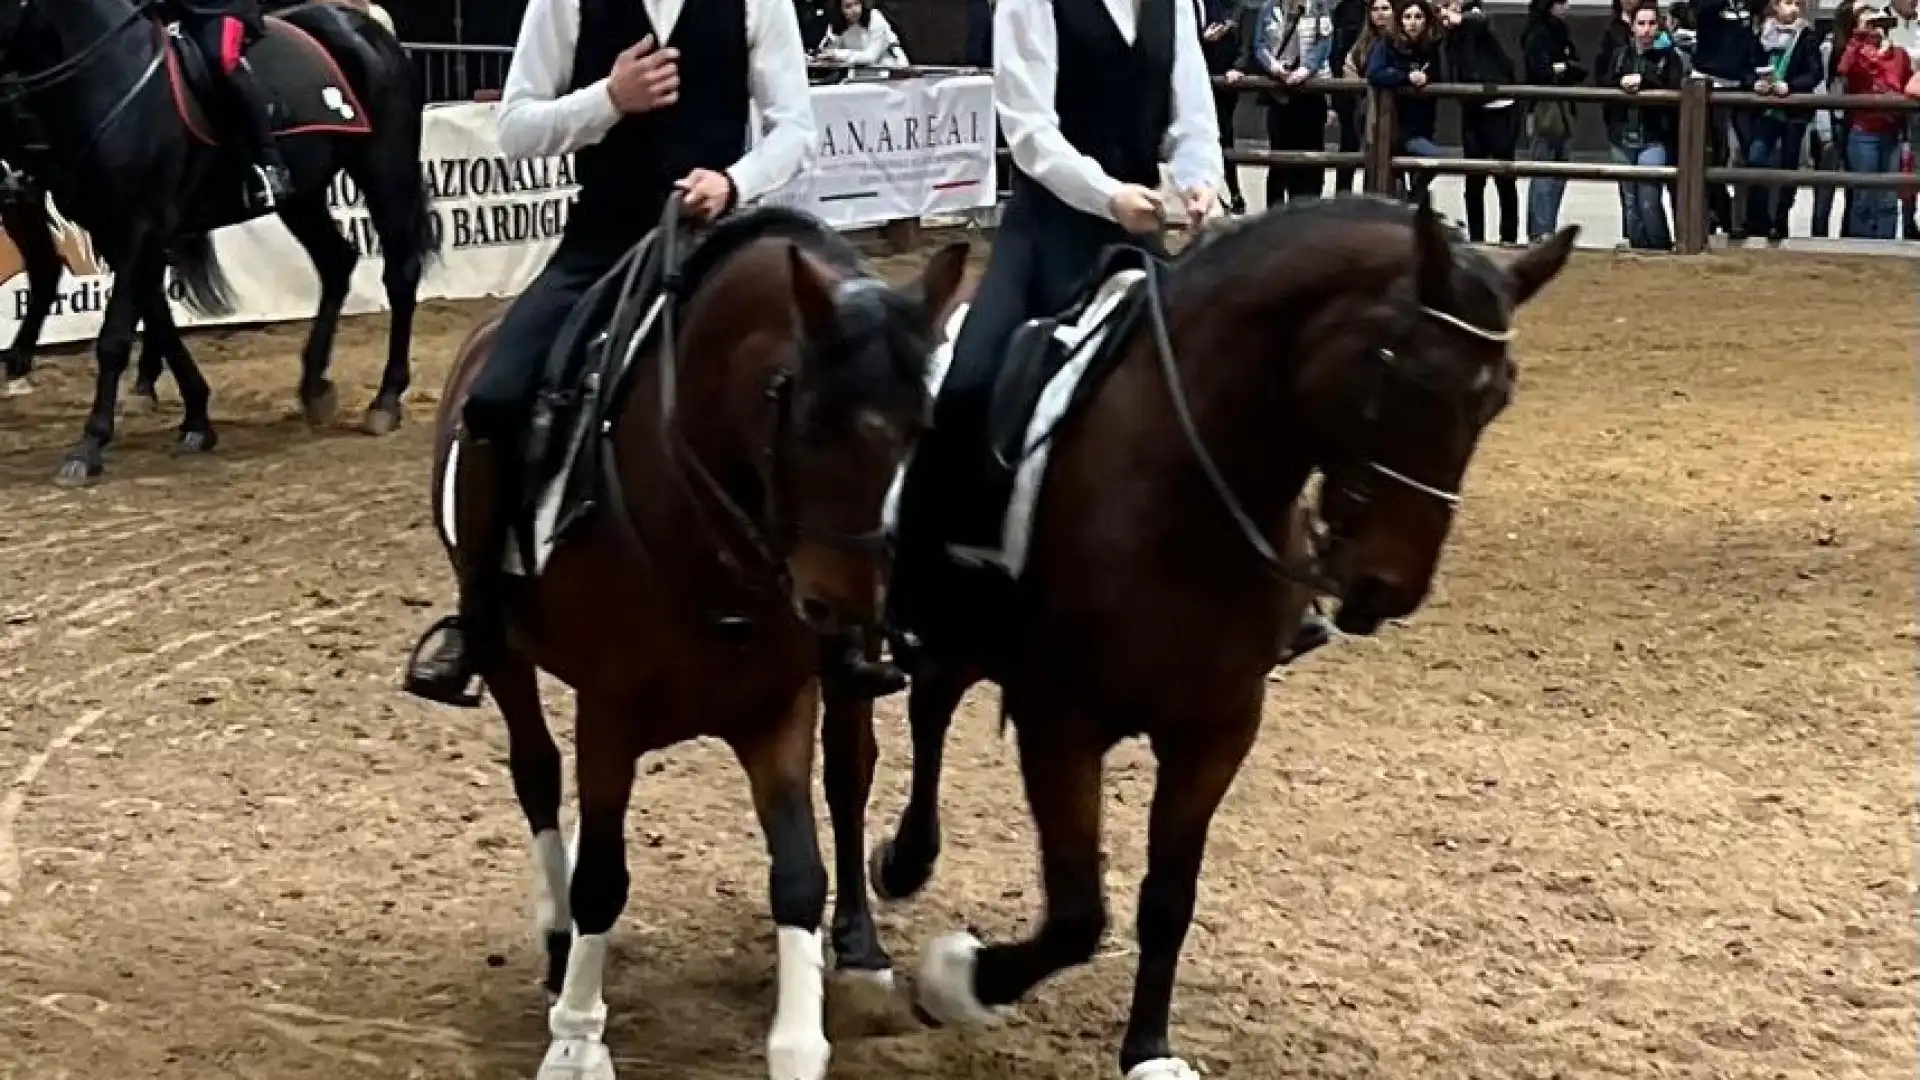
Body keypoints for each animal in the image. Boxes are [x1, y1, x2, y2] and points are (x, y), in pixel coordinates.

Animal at [0, 0, 435, 484]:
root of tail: (366, 28)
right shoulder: (115, 232)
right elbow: (159, 321)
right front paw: (196, 419)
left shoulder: (141, 225)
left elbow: (114, 337)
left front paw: (90, 444)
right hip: (302, 196)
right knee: (336, 262)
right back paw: (314, 386)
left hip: (384, 168)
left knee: (399, 275)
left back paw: (386, 400)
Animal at [439, 203, 975, 1076]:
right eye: (807, 419)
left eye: (922, 429)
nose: (849, 608)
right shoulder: (610, 709)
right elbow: (601, 879)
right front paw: (577, 1039)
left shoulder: (776, 710)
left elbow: (799, 874)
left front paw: (799, 1045)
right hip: (506, 652)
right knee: (538, 775)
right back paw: (557, 934)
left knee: (848, 778)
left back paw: (860, 954)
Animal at [817, 195, 1582, 1076]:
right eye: (1404, 376)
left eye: (1498, 399)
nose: (1386, 589)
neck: (1181, 491)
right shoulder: (1061, 722)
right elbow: (1078, 914)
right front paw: (960, 978)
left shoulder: (1216, 729)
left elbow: (1168, 899)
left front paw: (1148, 1046)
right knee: (870, 755)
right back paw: (875, 919)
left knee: (934, 702)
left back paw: (907, 861)